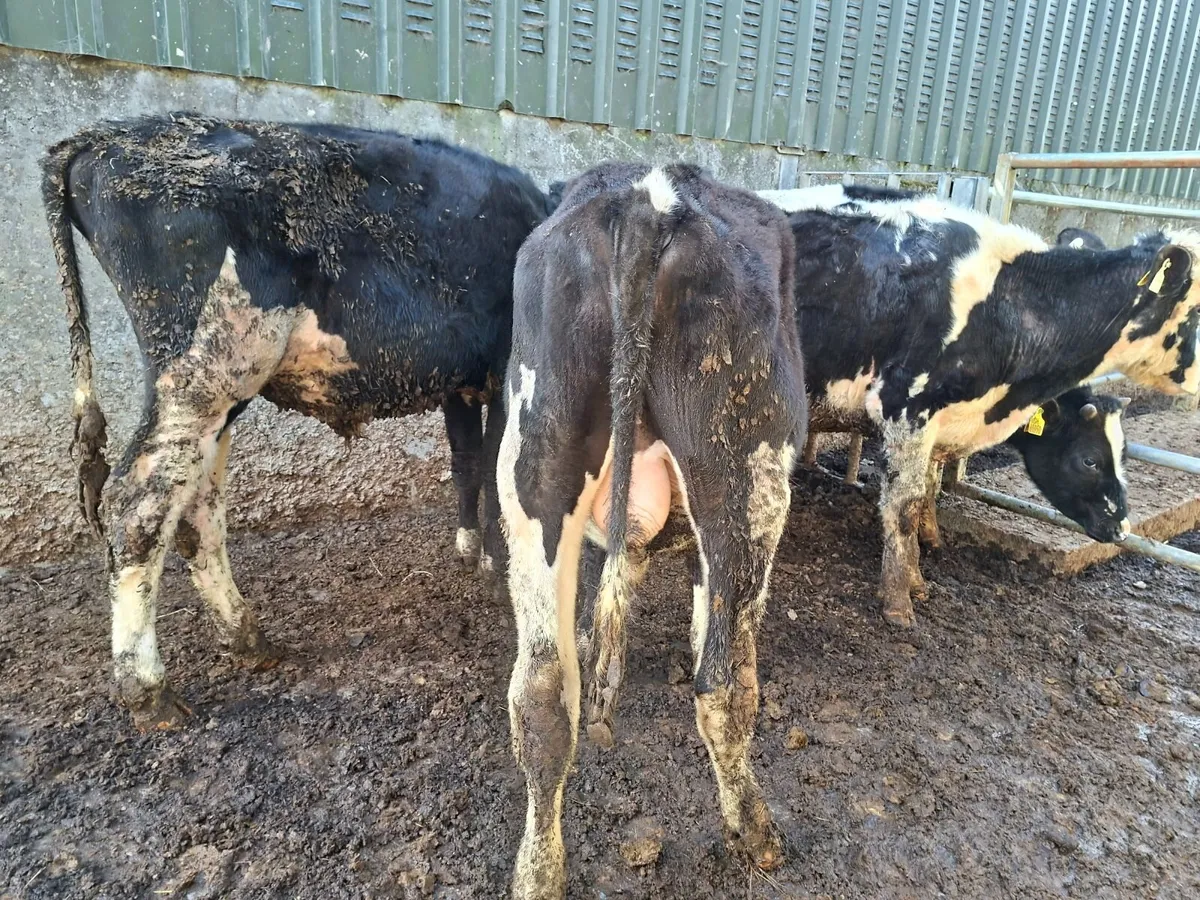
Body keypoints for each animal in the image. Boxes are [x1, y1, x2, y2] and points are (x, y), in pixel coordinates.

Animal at [42, 113, 551, 730]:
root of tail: (103, 136)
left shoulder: (462, 380)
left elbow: (468, 463)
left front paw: (469, 551)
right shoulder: (502, 366)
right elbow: (499, 471)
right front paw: (500, 572)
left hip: (220, 386)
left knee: (196, 508)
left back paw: (247, 638)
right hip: (201, 371)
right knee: (138, 506)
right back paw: (148, 690)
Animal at [498, 163, 805, 898]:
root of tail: (650, 196)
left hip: (534, 461)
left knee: (541, 694)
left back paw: (538, 873)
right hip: (744, 476)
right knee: (724, 685)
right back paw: (756, 833)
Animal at [760, 183, 1199, 627]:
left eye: (1123, 454)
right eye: (1089, 460)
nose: (1121, 529)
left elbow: (927, 490)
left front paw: (920, 572)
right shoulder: (906, 407)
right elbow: (904, 506)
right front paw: (899, 600)